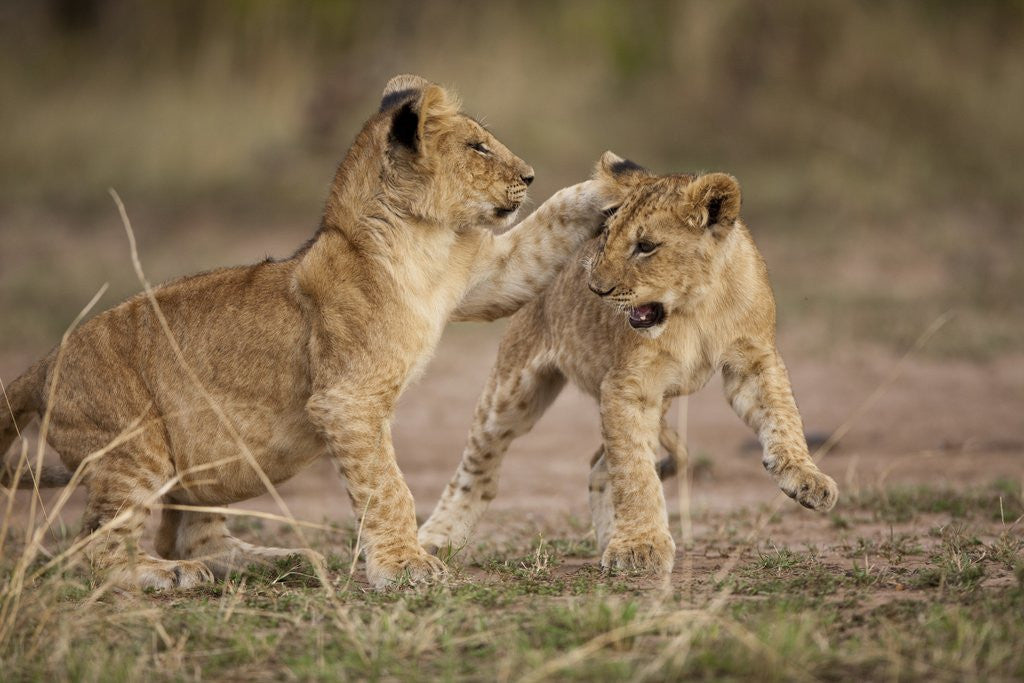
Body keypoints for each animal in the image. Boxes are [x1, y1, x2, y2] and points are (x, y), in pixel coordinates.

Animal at [0, 75, 626, 589]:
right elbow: (386, 486)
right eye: (477, 147)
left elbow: (547, 229)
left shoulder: (488, 275)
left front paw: (614, 186)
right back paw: (165, 576)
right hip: (133, 446)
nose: (529, 175)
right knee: (95, 546)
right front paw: (406, 568)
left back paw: (267, 561)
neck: (421, 240)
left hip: (205, 447)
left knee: (186, 533)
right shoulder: (347, 398)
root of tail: (45, 362)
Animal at [418, 160, 839, 574]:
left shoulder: (754, 360)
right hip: (513, 391)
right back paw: (438, 538)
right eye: (606, 235)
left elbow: (782, 416)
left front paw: (807, 478)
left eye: (646, 247)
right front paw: (641, 545)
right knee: (479, 465)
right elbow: (635, 473)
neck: (694, 307)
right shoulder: (628, 385)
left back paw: (608, 539)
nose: (596, 288)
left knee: (598, 465)